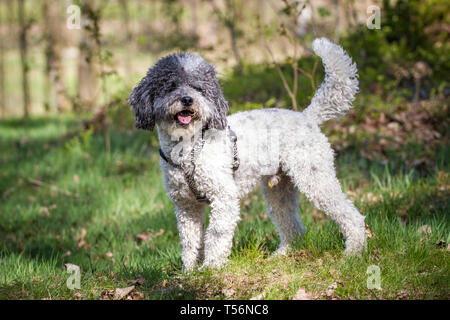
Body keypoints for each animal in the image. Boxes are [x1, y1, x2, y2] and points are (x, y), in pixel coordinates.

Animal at [129, 38, 366, 272]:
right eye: (171, 86)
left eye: (199, 88)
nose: (187, 99)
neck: (189, 149)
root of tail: (306, 117)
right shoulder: (186, 206)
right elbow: (189, 242)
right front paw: (190, 273)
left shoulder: (223, 198)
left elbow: (216, 236)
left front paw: (211, 268)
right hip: (280, 191)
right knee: (293, 227)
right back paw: (282, 255)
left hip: (315, 178)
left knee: (351, 215)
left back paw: (354, 251)